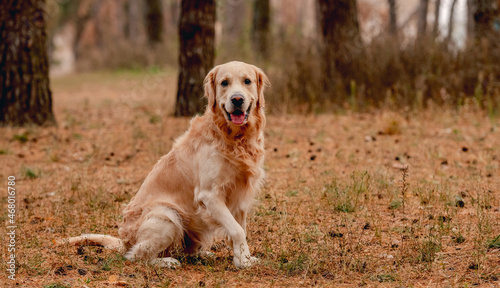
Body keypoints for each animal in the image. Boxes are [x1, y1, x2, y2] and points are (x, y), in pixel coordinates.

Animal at [64, 61, 272, 270]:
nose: (237, 99)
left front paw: (244, 258)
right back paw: (166, 262)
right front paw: (243, 262)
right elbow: (237, 230)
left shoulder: (240, 195)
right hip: (166, 216)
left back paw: (202, 254)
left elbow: (240, 229)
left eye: (247, 81)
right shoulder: (209, 196)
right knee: (136, 256)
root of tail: (124, 242)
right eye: (224, 83)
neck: (234, 139)